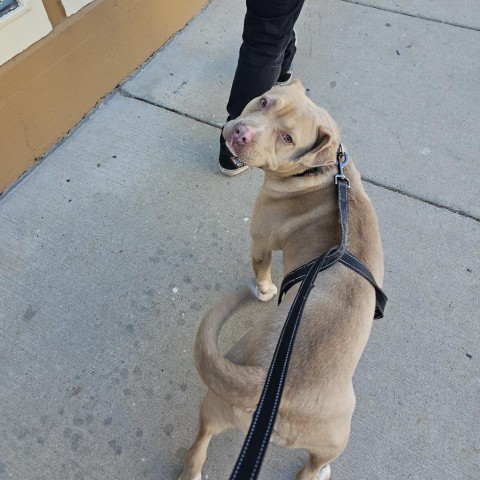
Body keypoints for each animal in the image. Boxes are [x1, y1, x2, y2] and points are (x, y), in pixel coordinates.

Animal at [178, 80, 384, 478]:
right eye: (263, 101)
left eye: (288, 138)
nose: (240, 133)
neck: (322, 171)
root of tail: (277, 391)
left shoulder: (261, 241)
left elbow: (261, 270)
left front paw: (264, 290)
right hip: (332, 438)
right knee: (308, 468)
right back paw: (320, 472)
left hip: (217, 397)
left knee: (196, 449)